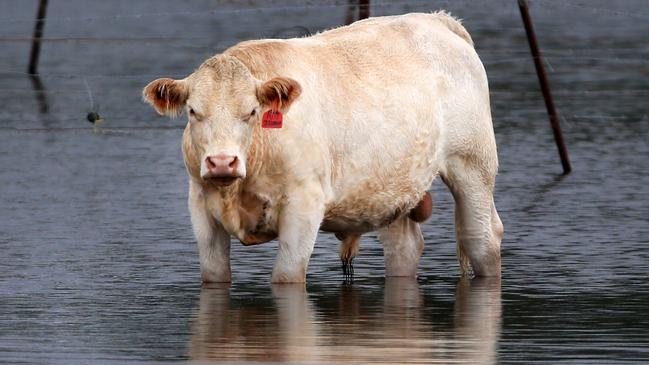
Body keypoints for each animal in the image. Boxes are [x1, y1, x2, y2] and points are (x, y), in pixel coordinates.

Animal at [144, 11, 504, 282]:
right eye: (193, 111)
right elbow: (214, 274)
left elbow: (286, 277)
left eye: (251, 112)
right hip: (393, 186)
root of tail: (436, 19)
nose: (221, 162)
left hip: (472, 166)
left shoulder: (304, 206)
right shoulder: (201, 206)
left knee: (482, 238)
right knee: (405, 247)